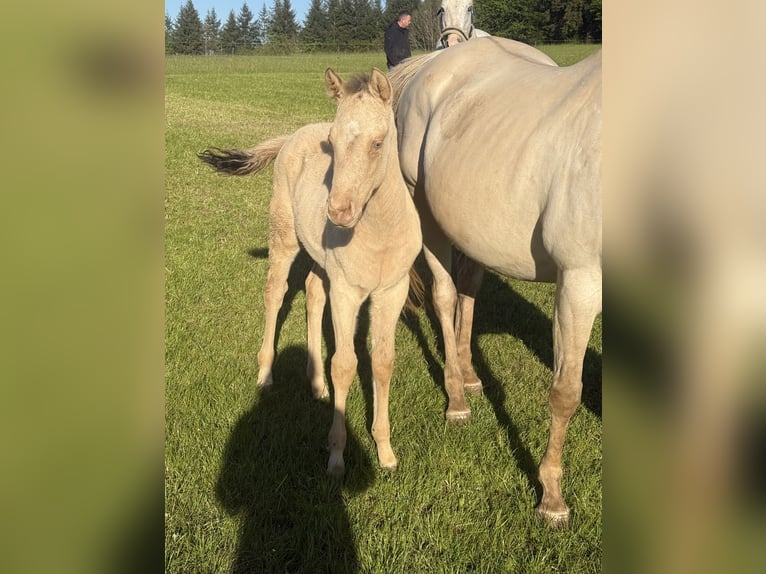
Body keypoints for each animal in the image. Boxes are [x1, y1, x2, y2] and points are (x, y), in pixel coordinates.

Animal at [198, 68, 423, 476]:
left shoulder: (391, 291)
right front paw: (336, 455)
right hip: (284, 236)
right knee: (275, 292)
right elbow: (346, 365)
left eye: (378, 143)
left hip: (320, 258)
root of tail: (293, 136)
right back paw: (265, 375)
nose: (339, 212)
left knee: (313, 292)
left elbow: (382, 362)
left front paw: (385, 451)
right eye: (332, 143)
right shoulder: (347, 292)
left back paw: (316, 383)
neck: (380, 232)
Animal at [390, 37, 602, 526]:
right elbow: (567, 391)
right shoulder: (579, 282)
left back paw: (470, 377)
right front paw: (551, 498)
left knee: (468, 290)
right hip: (425, 212)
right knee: (445, 296)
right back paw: (456, 401)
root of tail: (434, 61)